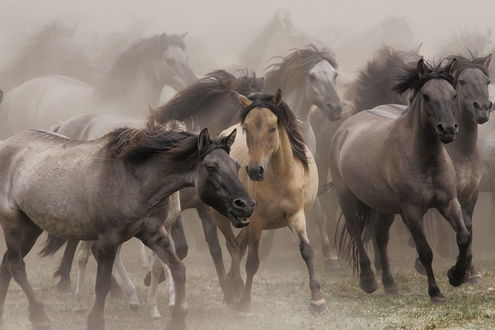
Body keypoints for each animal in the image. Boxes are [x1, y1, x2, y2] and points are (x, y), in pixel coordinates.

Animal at [332, 58, 470, 302]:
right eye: (426, 95)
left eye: (453, 94)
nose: (447, 130)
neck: (425, 160)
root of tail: (345, 128)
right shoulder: (411, 212)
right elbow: (425, 252)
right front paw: (435, 292)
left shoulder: (449, 203)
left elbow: (463, 237)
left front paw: (456, 275)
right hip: (347, 196)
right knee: (355, 231)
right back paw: (368, 280)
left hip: (383, 207)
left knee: (380, 238)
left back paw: (390, 285)